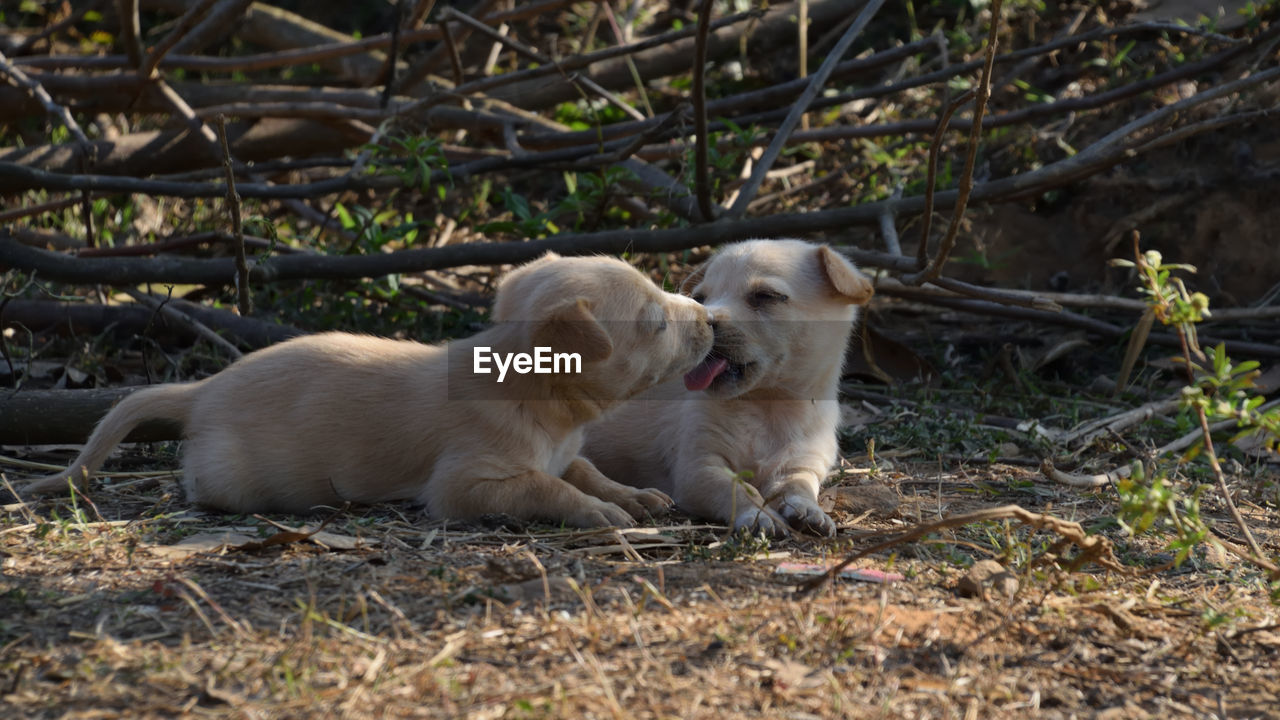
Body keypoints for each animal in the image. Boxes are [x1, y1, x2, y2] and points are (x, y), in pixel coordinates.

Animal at [24, 253, 716, 527]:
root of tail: (204, 389)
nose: (711, 320)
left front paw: (634, 496)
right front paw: (601, 513)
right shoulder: (465, 483)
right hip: (235, 477)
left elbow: (587, 470)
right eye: (655, 321)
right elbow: (549, 487)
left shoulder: (566, 450)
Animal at [586, 238, 875, 535]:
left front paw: (809, 511)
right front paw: (760, 516)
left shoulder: (803, 465)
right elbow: (739, 487)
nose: (706, 320)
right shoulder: (699, 469)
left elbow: (798, 487)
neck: (769, 407)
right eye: (700, 299)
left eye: (765, 296)